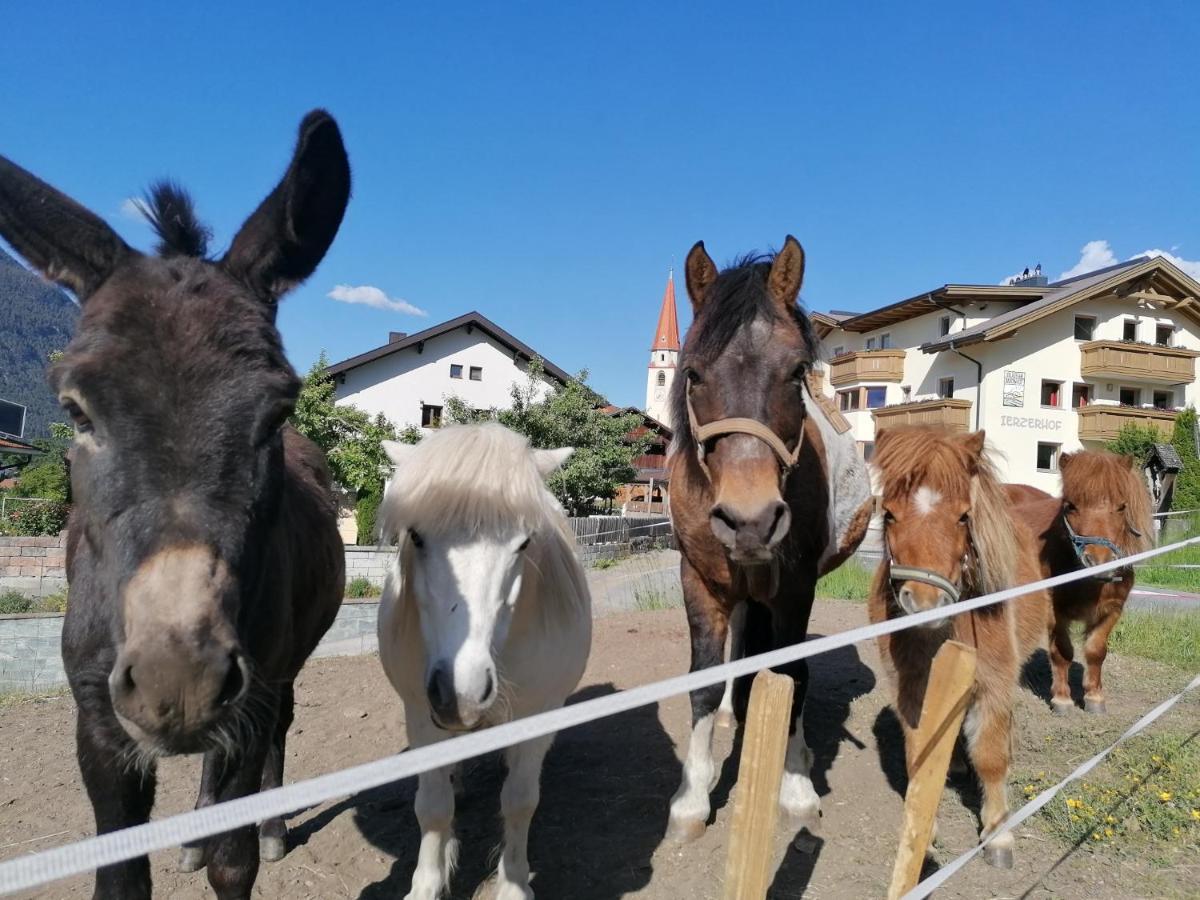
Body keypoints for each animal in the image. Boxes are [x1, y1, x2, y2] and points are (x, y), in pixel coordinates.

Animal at [0, 114, 348, 900]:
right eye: (76, 410)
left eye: (276, 413)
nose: (177, 680)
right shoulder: (98, 725)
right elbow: (120, 879)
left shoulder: (250, 694)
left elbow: (234, 860)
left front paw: (243, 841)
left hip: (277, 672)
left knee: (272, 734)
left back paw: (269, 825)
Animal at [379, 424, 590, 900]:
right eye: (416, 536)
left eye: (524, 542)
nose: (462, 695)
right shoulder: (420, 715)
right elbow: (433, 808)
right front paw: (427, 883)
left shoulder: (538, 715)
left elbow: (520, 801)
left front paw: (513, 883)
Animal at [667, 241, 873, 844]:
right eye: (693, 373)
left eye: (798, 371)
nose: (751, 519)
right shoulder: (698, 579)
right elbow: (703, 682)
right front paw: (693, 797)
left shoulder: (795, 589)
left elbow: (792, 675)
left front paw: (796, 785)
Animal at [864, 429, 1051, 873]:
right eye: (889, 514)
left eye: (964, 517)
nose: (925, 602)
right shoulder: (911, 689)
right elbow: (920, 756)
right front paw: (924, 836)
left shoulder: (995, 684)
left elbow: (991, 757)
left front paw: (998, 834)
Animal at [1008, 453, 1156, 715]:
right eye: (1071, 506)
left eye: (1122, 506)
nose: (1098, 561)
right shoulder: (1054, 611)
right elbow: (1062, 652)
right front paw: (1062, 699)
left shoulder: (1112, 609)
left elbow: (1096, 651)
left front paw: (1094, 697)